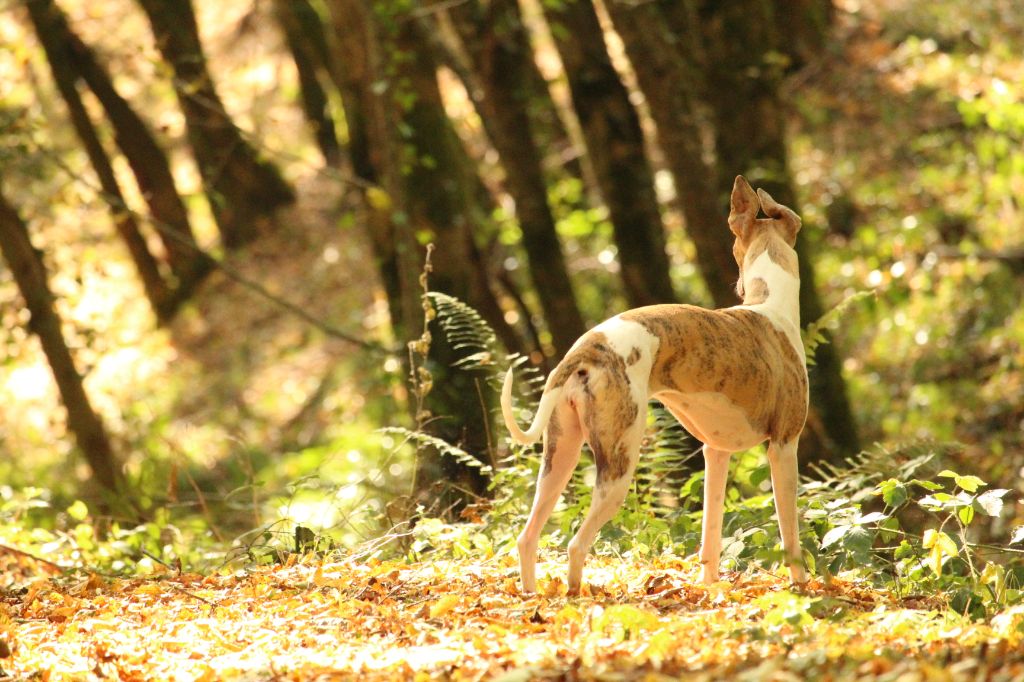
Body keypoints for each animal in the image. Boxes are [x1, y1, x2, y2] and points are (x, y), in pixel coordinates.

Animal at [501, 176, 806, 593]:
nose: (738, 286)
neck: (770, 305)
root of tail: (586, 348)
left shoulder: (715, 453)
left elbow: (710, 535)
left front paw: (710, 590)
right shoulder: (783, 447)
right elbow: (790, 534)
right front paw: (805, 590)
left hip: (559, 457)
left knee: (527, 537)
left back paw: (534, 596)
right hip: (618, 465)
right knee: (576, 545)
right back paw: (577, 596)